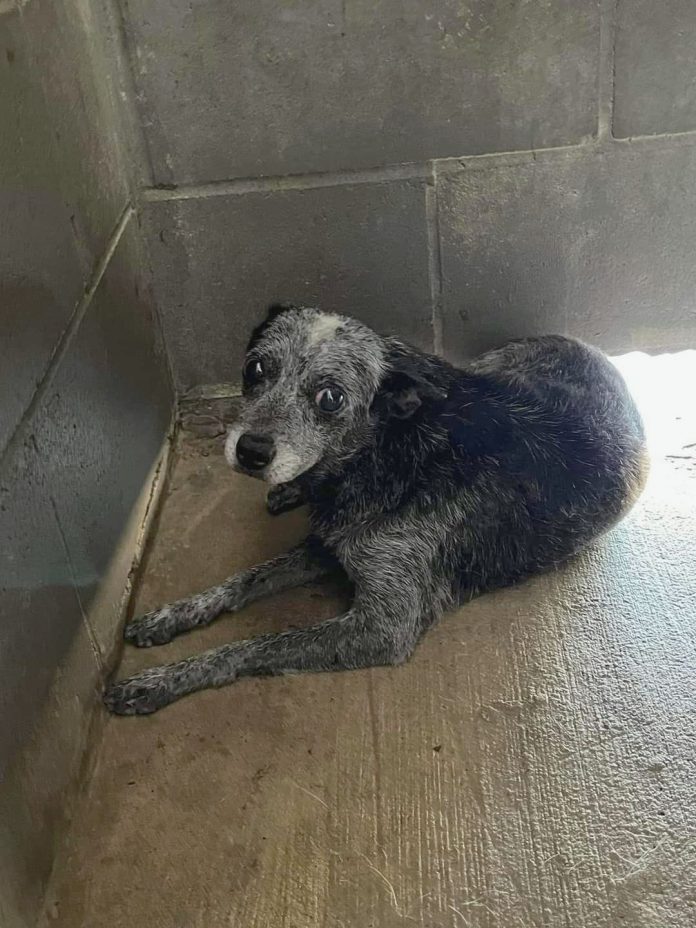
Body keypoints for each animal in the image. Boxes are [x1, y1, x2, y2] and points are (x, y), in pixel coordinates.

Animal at [103, 300, 648, 716]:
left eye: (330, 397)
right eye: (255, 368)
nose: (251, 451)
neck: (387, 451)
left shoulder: (383, 627)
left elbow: (258, 644)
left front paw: (158, 680)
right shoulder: (329, 543)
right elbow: (243, 580)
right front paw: (170, 616)